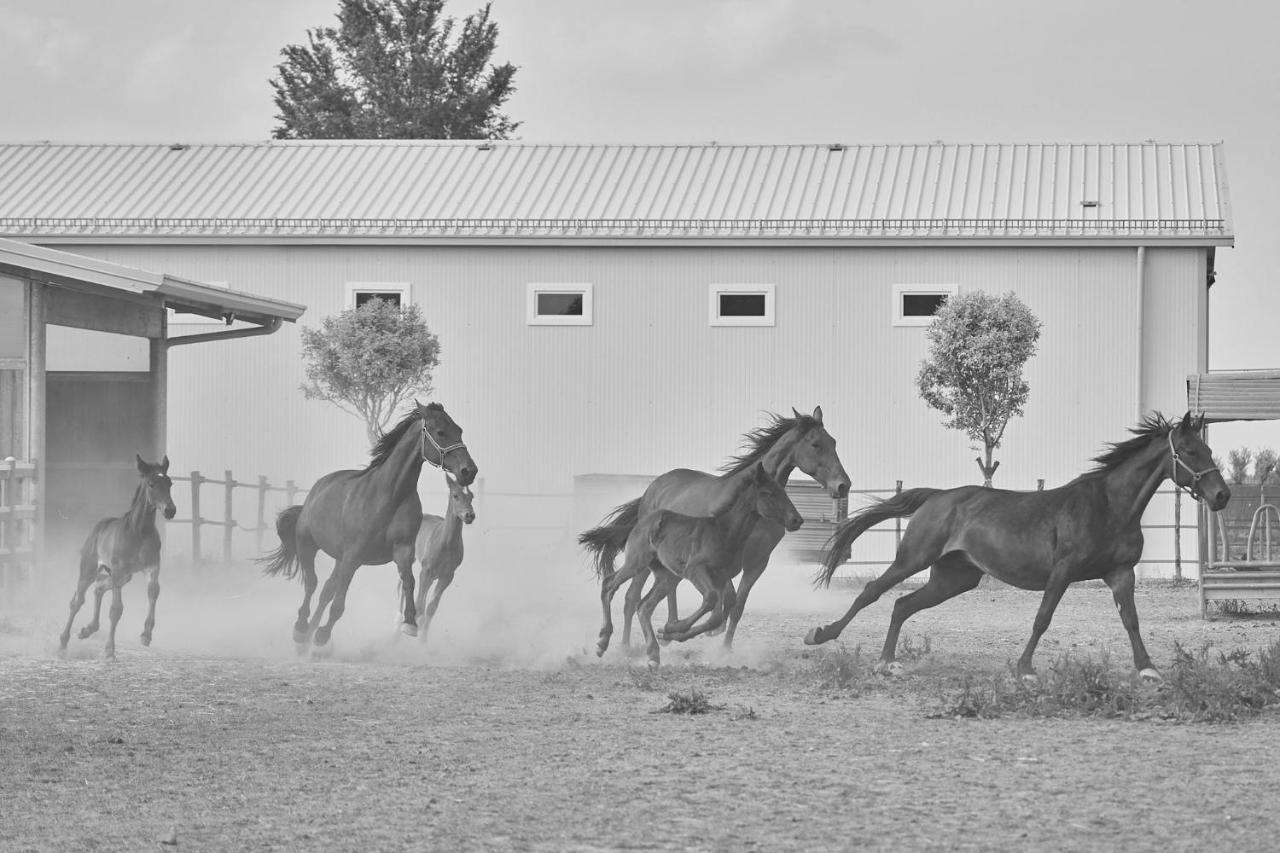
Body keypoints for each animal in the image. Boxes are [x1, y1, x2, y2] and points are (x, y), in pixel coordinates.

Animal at [57, 455, 176, 653]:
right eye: (151, 484)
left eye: (170, 483)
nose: (170, 510)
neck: (139, 532)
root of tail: (98, 526)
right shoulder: (119, 570)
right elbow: (116, 610)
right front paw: (110, 651)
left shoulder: (152, 566)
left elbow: (153, 592)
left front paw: (146, 635)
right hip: (90, 569)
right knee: (77, 601)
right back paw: (63, 641)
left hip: (124, 576)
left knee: (99, 588)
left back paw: (87, 630)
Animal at [259, 399, 476, 645]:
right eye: (440, 432)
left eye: (459, 430)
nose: (469, 471)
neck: (389, 495)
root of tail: (315, 491)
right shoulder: (353, 557)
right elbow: (338, 603)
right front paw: (323, 636)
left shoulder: (403, 552)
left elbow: (409, 582)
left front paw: (410, 623)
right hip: (307, 545)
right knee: (312, 583)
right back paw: (302, 628)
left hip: (338, 558)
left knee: (325, 589)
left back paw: (308, 637)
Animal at [581, 404, 849, 645]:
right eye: (815, 444)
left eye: (835, 442)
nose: (843, 485)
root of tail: (654, 486)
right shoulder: (719, 564)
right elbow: (725, 601)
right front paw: (700, 633)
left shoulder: (756, 563)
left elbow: (736, 606)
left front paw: (723, 649)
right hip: (644, 559)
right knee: (631, 597)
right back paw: (625, 645)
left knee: (665, 590)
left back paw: (666, 632)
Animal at [604, 458, 803, 666]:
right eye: (768, 493)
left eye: (783, 492)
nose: (796, 520)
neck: (724, 533)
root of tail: (642, 519)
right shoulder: (695, 570)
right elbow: (710, 599)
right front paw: (673, 629)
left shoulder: (721, 578)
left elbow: (716, 615)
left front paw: (670, 632)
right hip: (637, 562)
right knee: (610, 585)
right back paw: (605, 641)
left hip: (665, 576)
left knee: (644, 606)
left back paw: (652, 652)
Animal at [808, 412, 1228, 676]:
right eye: (1190, 451)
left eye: (1209, 450)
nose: (1221, 495)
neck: (1109, 506)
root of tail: (938, 496)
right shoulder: (1062, 571)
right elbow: (1042, 618)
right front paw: (1024, 669)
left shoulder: (1121, 573)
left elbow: (1131, 620)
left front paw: (1148, 669)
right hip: (913, 558)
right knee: (873, 592)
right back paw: (823, 635)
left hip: (954, 578)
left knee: (902, 605)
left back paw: (887, 661)